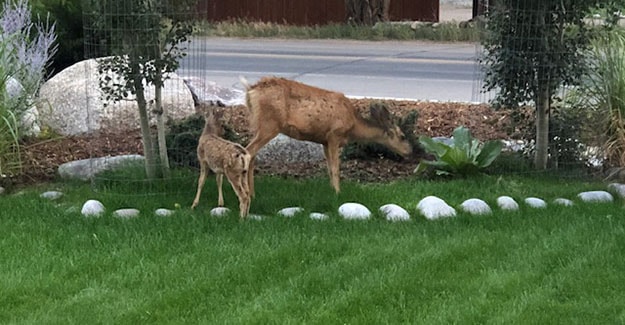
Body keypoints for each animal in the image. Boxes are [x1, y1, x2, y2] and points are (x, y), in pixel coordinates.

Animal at [239, 76, 410, 192]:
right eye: (402, 136)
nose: (410, 151)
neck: (353, 124)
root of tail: (250, 90)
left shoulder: (324, 141)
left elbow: (328, 168)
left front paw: (332, 190)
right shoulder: (334, 135)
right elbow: (335, 168)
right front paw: (338, 193)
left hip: (257, 124)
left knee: (250, 153)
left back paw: (252, 193)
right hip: (270, 124)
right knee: (249, 151)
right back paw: (249, 194)